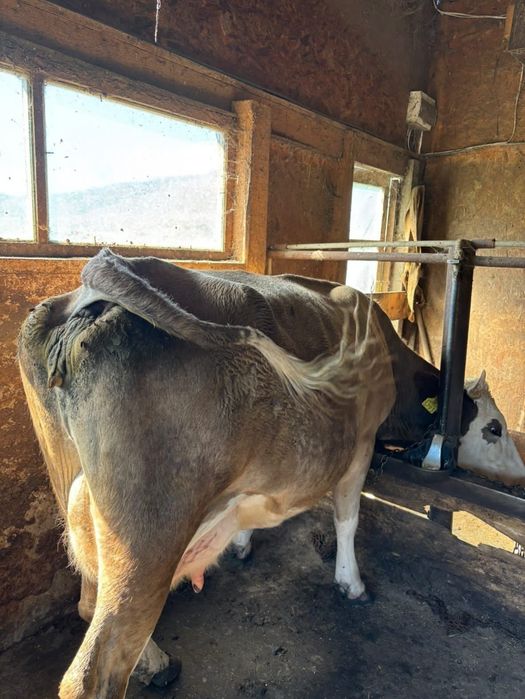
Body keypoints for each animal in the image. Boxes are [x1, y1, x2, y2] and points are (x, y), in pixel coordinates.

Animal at [18, 249, 524, 698]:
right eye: (494, 428)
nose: (520, 473)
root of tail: (95, 282)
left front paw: (242, 543)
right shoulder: (359, 445)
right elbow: (348, 519)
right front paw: (351, 583)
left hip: (77, 495)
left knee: (89, 604)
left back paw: (157, 662)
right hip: (148, 532)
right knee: (95, 668)